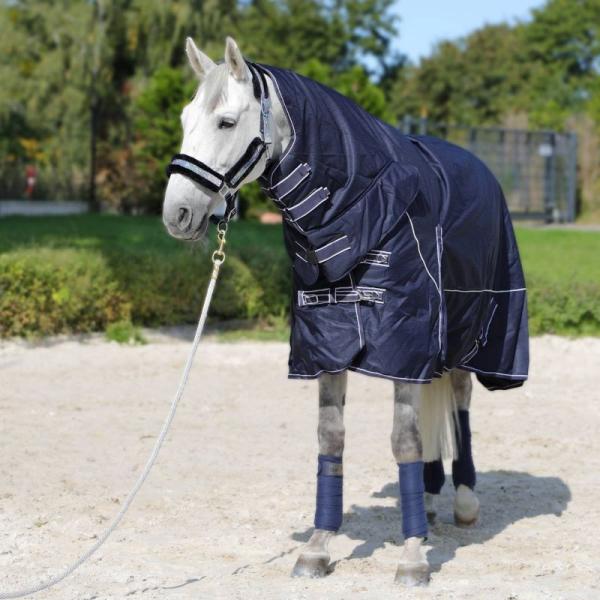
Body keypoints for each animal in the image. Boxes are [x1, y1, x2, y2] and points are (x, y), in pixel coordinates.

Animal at [162, 37, 480, 584]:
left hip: (461, 335)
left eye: (226, 122)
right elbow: (330, 439)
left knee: (459, 400)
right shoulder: (327, 343)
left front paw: (412, 557)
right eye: (184, 119)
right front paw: (318, 546)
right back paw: (429, 500)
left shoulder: (404, 343)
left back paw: (462, 499)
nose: (176, 214)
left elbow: (405, 440)